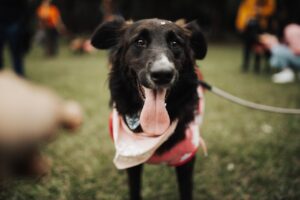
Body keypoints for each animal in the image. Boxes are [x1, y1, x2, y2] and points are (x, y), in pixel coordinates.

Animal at [91, 17, 206, 200]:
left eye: (175, 43)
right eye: (140, 42)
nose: (162, 74)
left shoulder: (186, 159)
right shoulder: (131, 162)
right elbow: (134, 189)